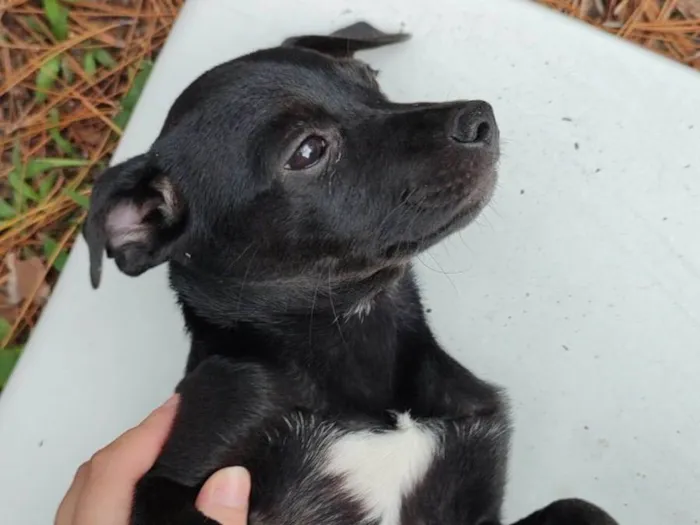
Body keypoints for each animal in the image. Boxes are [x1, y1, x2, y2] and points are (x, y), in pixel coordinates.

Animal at [83, 21, 616, 524]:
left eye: (370, 79)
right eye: (307, 151)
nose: (480, 117)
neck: (358, 339)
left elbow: (582, 506)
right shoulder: (174, 476)